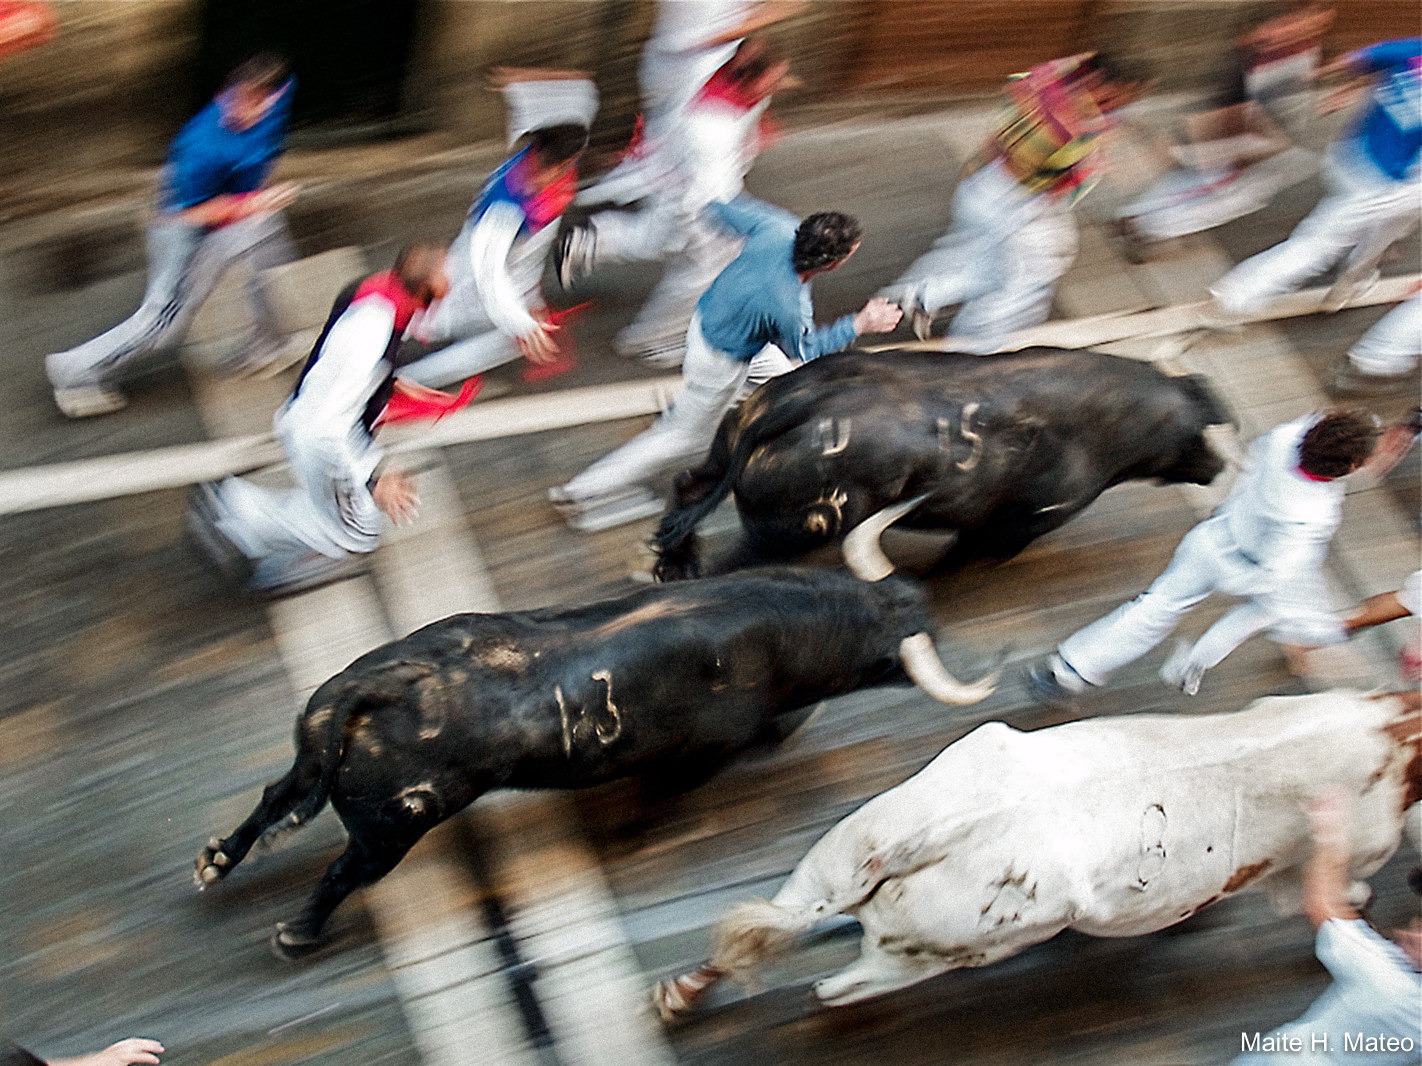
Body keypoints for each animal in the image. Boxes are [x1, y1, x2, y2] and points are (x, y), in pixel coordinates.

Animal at [194, 568, 989, 949]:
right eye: (887, 657)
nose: (921, 602)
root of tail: (381, 682)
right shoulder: (707, 752)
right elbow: (671, 793)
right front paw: (634, 837)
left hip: (314, 754)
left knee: (275, 795)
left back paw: (215, 862)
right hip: (396, 825)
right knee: (343, 870)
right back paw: (296, 934)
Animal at [651, 348, 1228, 585]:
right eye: (1199, 433)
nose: (1220, 466)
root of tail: (801, 401)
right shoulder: (1021, 521)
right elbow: (970, 554)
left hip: (726, 449)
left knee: (688, 486)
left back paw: (672, 564)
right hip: (789, 531)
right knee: (734, 562)